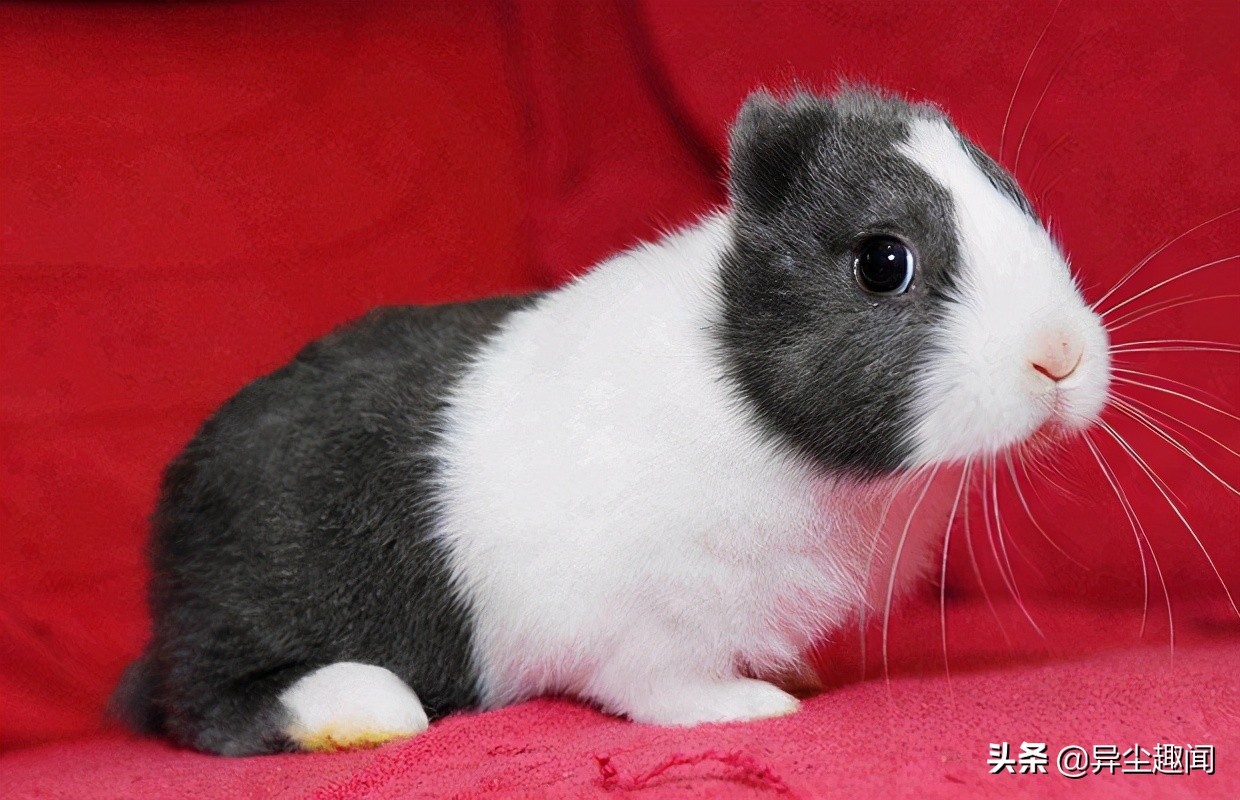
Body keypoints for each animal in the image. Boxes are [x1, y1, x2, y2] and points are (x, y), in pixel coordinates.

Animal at [111, 87, 1110, 755]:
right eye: (882, 263)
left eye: (1018, 200)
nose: (1059, 356)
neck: (746, 392)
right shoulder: (648, 621)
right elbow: (665, 686)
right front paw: (752, 708)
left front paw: (788, 674)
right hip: (253, 615)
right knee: (206, 706)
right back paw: (361, 710)